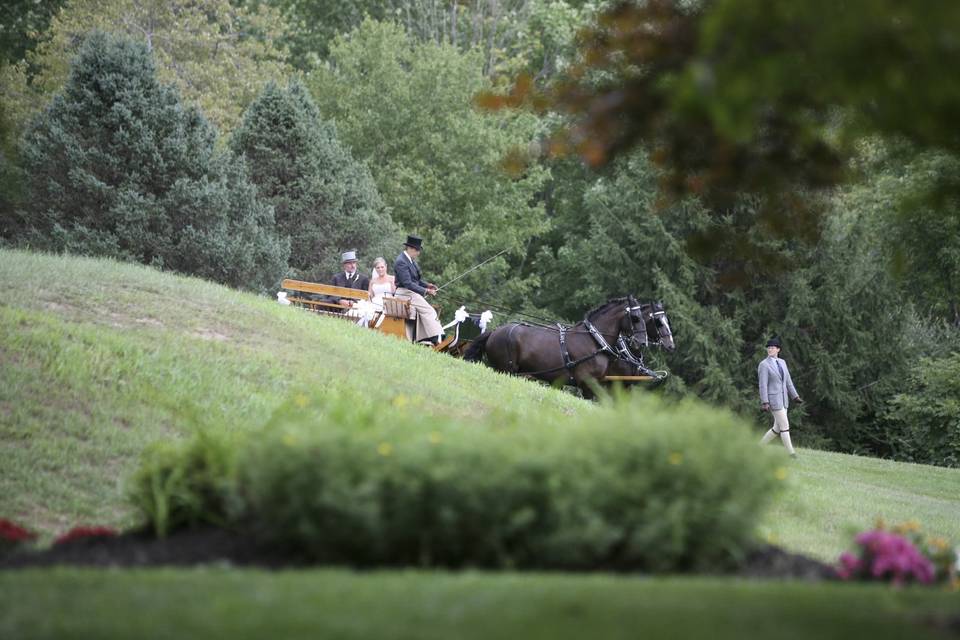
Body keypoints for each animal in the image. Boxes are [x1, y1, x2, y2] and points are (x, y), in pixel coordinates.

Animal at [464, 298, 676, 398]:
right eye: (635, 318)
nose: (641, 342)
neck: (595, 341)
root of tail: (495, 331)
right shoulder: (589, 382)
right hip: (505, 369)